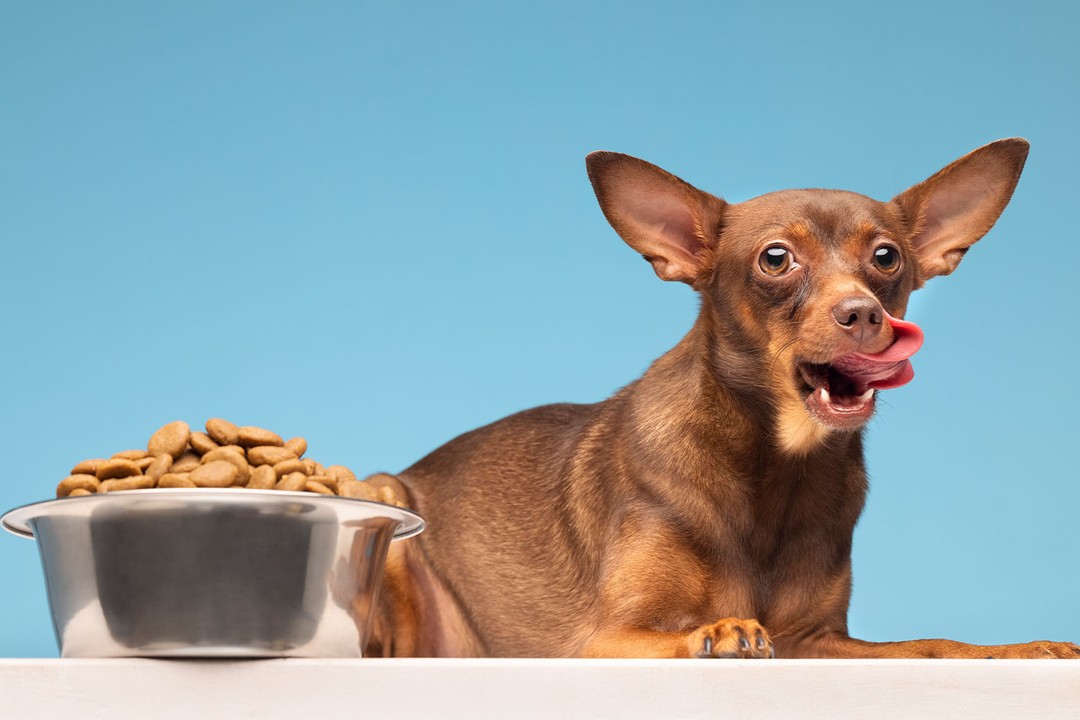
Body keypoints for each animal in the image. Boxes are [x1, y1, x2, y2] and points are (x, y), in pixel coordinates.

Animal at [365, 138, 1080, 660]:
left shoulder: (815, 642)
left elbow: (928, 645)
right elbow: (688, 632)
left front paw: (1018, 650)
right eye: (776, 259)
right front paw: (719, 630)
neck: (777, 468)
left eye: (885, 257)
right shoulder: (607, 639)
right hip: (386, 499)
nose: (863, 313)